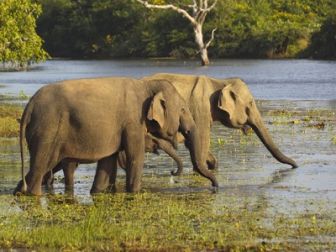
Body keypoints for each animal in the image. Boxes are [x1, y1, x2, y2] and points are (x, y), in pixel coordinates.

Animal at [14, 78, 217, 196]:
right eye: (183, 110)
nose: (215, 187)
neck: (146, 86)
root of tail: (29, 106)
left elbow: (107, 160)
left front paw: (98, 192)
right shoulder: (133, 121)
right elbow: (135, 156)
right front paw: (134, 193)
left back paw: (18, 191)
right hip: (47, 131)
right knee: (40, 168)